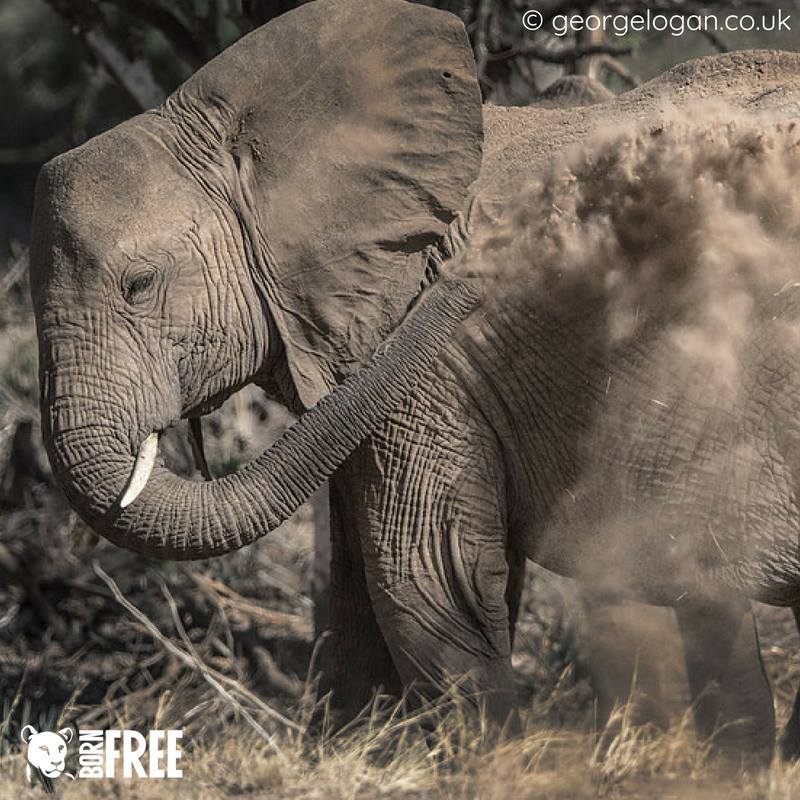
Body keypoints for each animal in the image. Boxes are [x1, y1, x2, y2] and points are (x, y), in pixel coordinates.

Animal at [28, 0, 800, 764]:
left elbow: (425, 575)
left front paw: (490, 767)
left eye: (138, 285)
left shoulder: (425, 369)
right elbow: (363, 588)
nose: (477, 260)